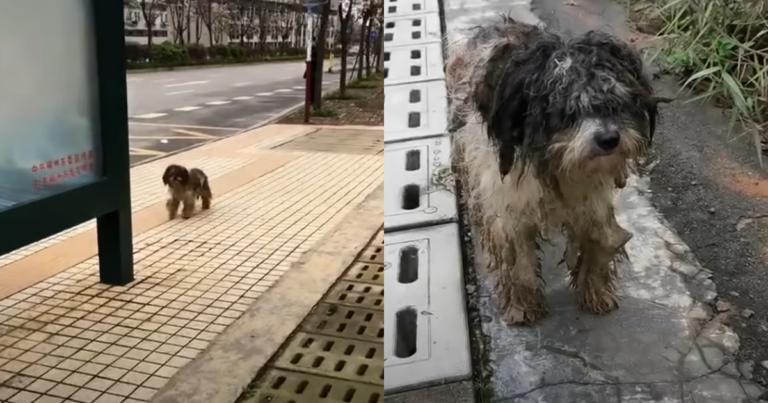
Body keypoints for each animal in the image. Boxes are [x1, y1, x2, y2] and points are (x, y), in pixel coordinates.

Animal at [448, 18, 668, 326]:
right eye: (565, 110)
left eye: (614, 101)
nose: (609, 139)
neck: (554, 166)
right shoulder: (508, 206)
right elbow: (517, 261)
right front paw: (523, 306)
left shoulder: (592, 202)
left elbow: (597, 244)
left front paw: (596, 293)